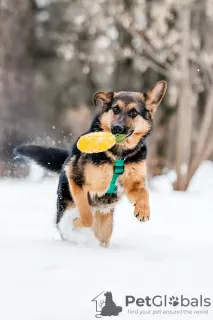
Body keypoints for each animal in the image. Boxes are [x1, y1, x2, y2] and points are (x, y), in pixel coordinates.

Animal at [15, 80, 167, 248]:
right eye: (115, 109)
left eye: (134, 113)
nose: (117, 128)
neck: (118, 154)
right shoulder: (77, 182)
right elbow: (87, 216)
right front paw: (76, 223)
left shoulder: (133, 184)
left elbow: (144, 192)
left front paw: (143, 210)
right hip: (65, 205)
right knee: (64, 223)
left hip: (105, 227)